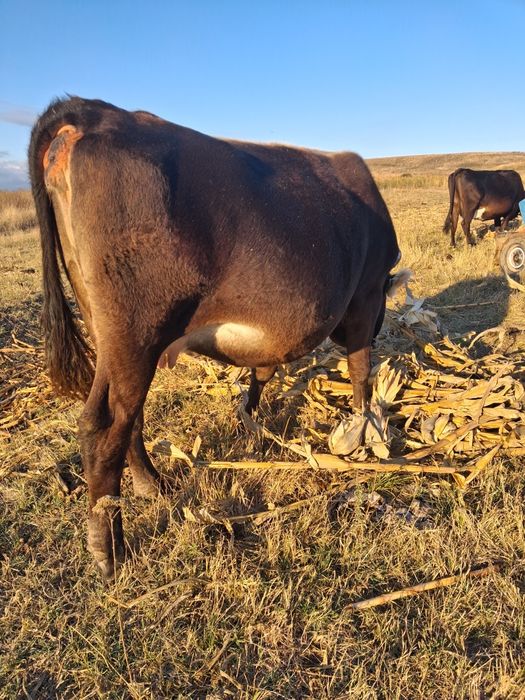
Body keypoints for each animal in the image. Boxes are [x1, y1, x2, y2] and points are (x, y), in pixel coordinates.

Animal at [29, 97, 402, 580]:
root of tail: (100, 113)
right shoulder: (364, 295)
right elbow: (360, 370)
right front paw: (363, 426)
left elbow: (262, 373)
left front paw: (250, 420)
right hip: (135, 329)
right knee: (104, 425)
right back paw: (110, 553)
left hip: (107, 327)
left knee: (130, 416)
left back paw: (153, 486)